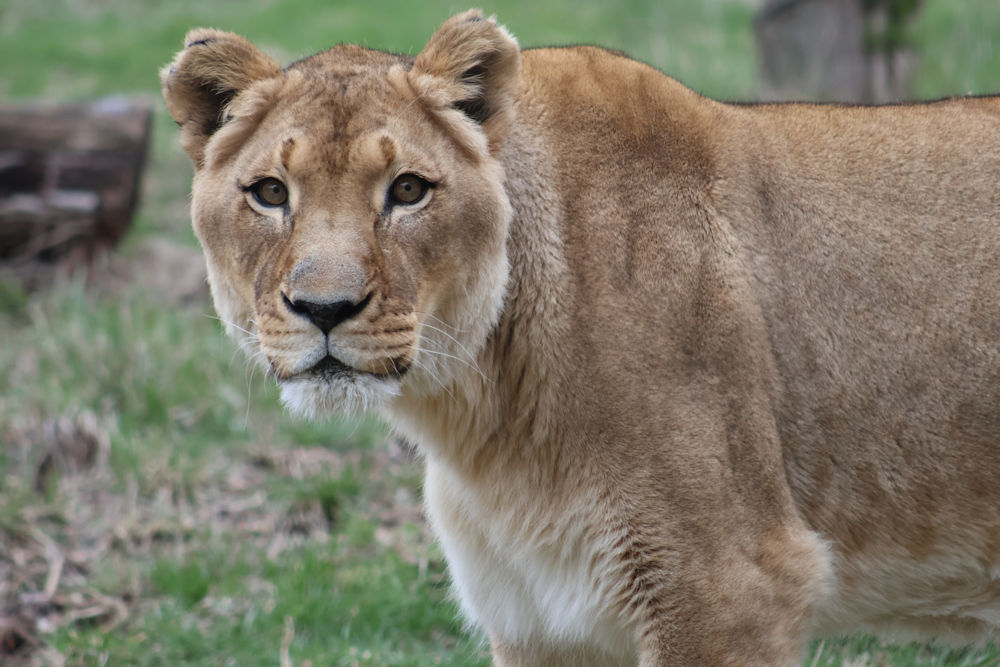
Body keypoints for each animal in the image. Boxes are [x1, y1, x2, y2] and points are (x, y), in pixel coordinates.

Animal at [161, 10, 1000, 665]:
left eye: (408, 189)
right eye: (271, 192)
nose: (325, 307)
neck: (482, 412)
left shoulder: (730, 588)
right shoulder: (539, 616)